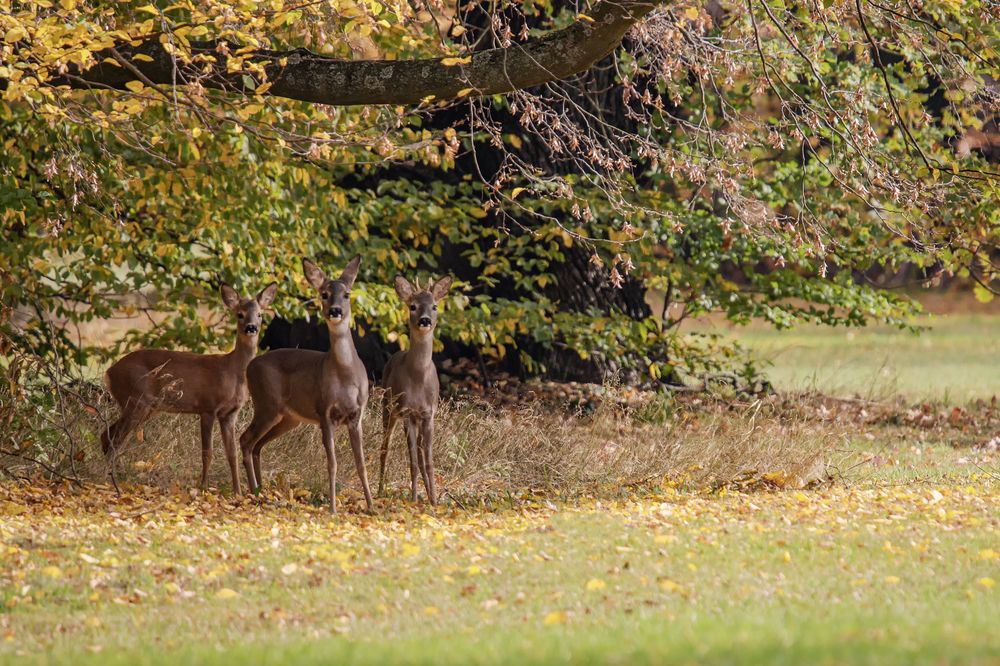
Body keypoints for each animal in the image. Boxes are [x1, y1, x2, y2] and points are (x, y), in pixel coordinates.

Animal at [101, 278, 278, 490]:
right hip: (136, 400)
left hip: (145, 406)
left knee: (108, 434)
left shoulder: (229, 414)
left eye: (260, 314)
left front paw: (237, 491)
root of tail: (109, 372)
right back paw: (109, 479)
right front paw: (203, 487)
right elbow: (207, 453)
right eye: (240, 314)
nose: (251, 327)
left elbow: (232, 454)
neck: (232, 372)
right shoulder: (208, 406)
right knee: (114, 438)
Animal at [238, 256, 376, 510]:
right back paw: (253, 493)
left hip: (289, 418)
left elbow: (361, 464)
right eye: (324, 293)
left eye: (347, 294)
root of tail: (250, 365)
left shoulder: (357, 415)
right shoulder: (324, 413)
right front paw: (332, 507)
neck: (345, 376)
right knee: (246, 439)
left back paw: (261, 491)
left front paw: (371, 507)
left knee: (258, 445)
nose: (335, 311)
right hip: (266, 404)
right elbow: (332, 464)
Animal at [376, 272, 454, 500]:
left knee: (419, 453)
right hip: (387, 407)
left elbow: (427, 461)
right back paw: (380, 490)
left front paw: (433, 499)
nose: (425, 320)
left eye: (435, 306)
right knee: (385, 447)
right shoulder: (407, 412)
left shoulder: (428, 414)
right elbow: (412, 462)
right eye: (413, 306)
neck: (418, 378)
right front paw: (413, 499)